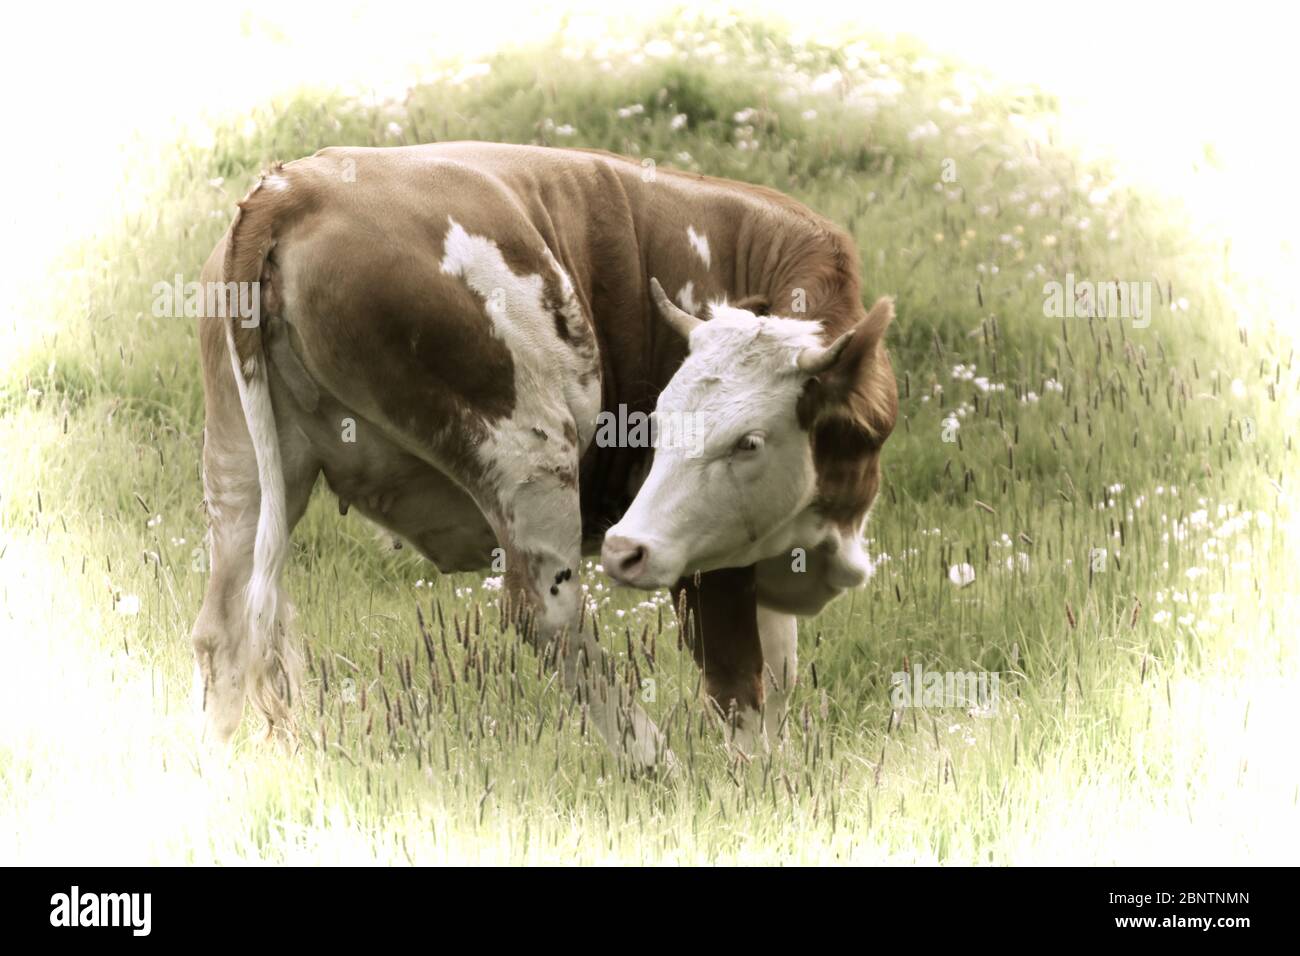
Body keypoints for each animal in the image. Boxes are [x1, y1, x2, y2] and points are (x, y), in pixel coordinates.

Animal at [190, 141, 897, 769]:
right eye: (659, 427)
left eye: (748, 441)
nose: (623, 547)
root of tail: (296, 186)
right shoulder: (706, 557)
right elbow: (739, 681)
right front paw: (748, 786)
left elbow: (778, 674)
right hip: (527, 451)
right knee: (548, 619)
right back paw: (654, 763)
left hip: (242, 469)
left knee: (224, 629)